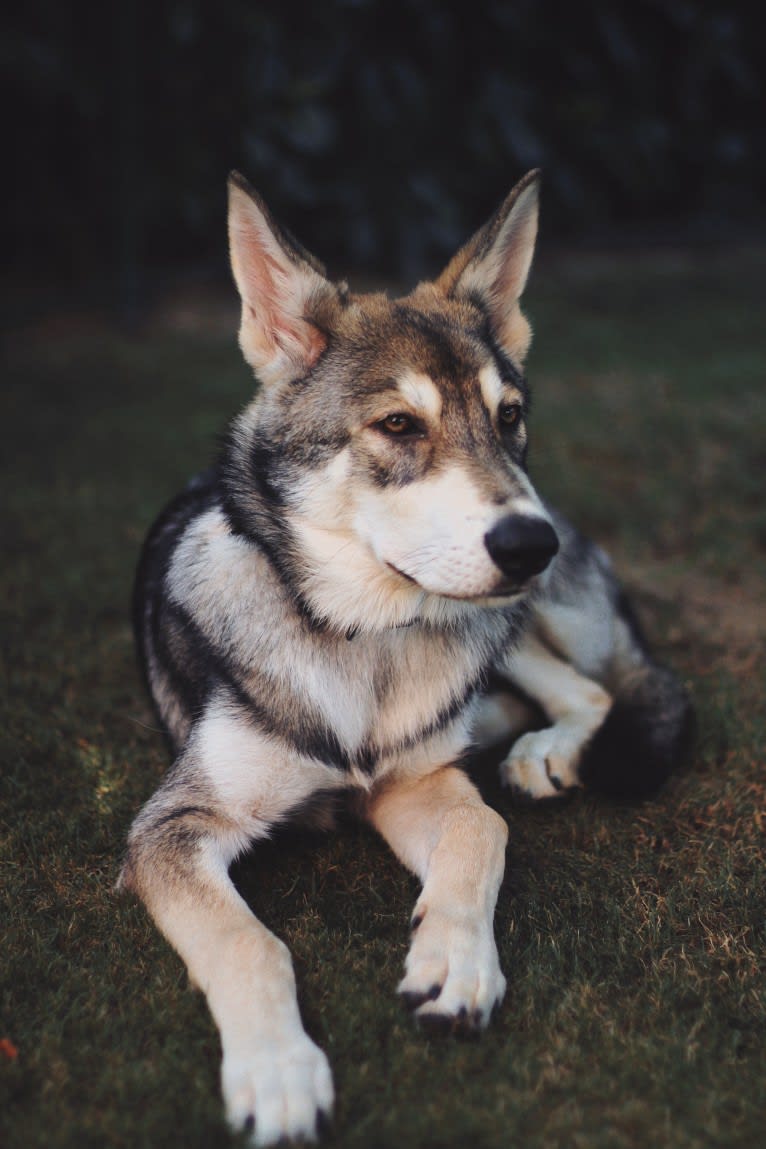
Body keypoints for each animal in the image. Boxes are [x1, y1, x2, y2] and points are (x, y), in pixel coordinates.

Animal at [118, 172, 689, 1149]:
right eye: (397, 423)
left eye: (509, 417)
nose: (530, 541)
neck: (363, 643)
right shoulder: (172, 827)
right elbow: (248, 940)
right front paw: (279, 1072)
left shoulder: (413, 783)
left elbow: (482, 829)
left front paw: (455, 962)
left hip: (508, 624)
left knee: (586, 689)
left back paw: (541, 753)